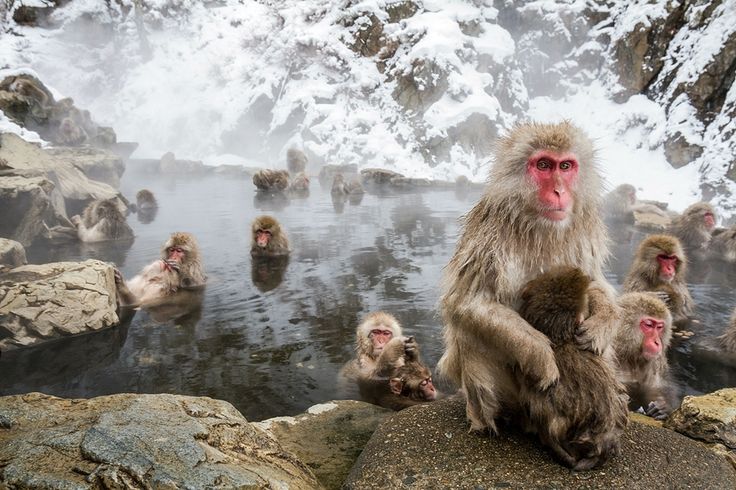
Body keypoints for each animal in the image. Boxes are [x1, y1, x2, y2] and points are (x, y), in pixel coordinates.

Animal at [438, 121, 619, 435]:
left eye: (566, 166)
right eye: (544, 165)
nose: (558, 191)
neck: (541, 226)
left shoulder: (585, 229)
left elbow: (595, 281)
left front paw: (602, 324)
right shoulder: (489, 233)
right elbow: (468, 302)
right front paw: (542, 357)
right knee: (469, 331)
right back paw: (487, 423)